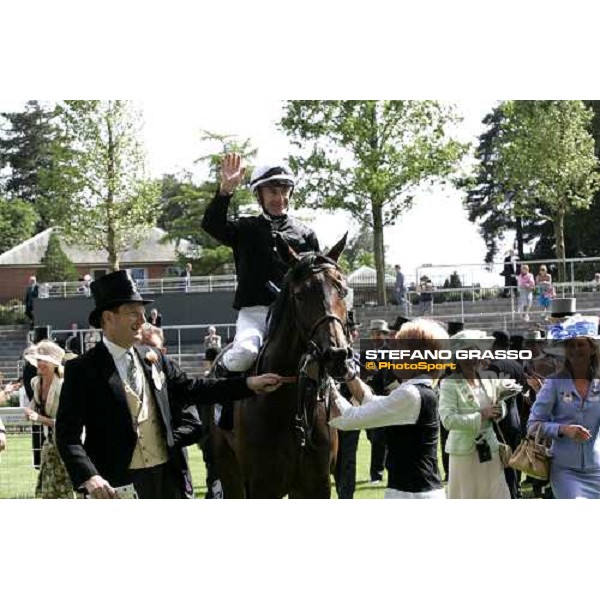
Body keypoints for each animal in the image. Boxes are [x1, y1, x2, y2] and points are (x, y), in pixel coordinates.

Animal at [212, 232, 354, 500]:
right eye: (300, 294)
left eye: (342, 290)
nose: (337, 355)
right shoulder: (261, 486)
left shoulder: (316, 487)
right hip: (228, 467)